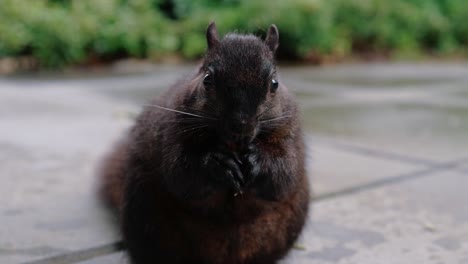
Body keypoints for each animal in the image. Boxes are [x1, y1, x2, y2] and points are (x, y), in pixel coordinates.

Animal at [100, 22, 308, 264]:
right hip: (144, 215)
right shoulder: (172, 132)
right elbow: (182, 173)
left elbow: (284, 173)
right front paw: (218, 164)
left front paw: (257, 160)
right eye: (207, 79)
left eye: (274, 84)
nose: (240, 127)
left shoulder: (289, 132)